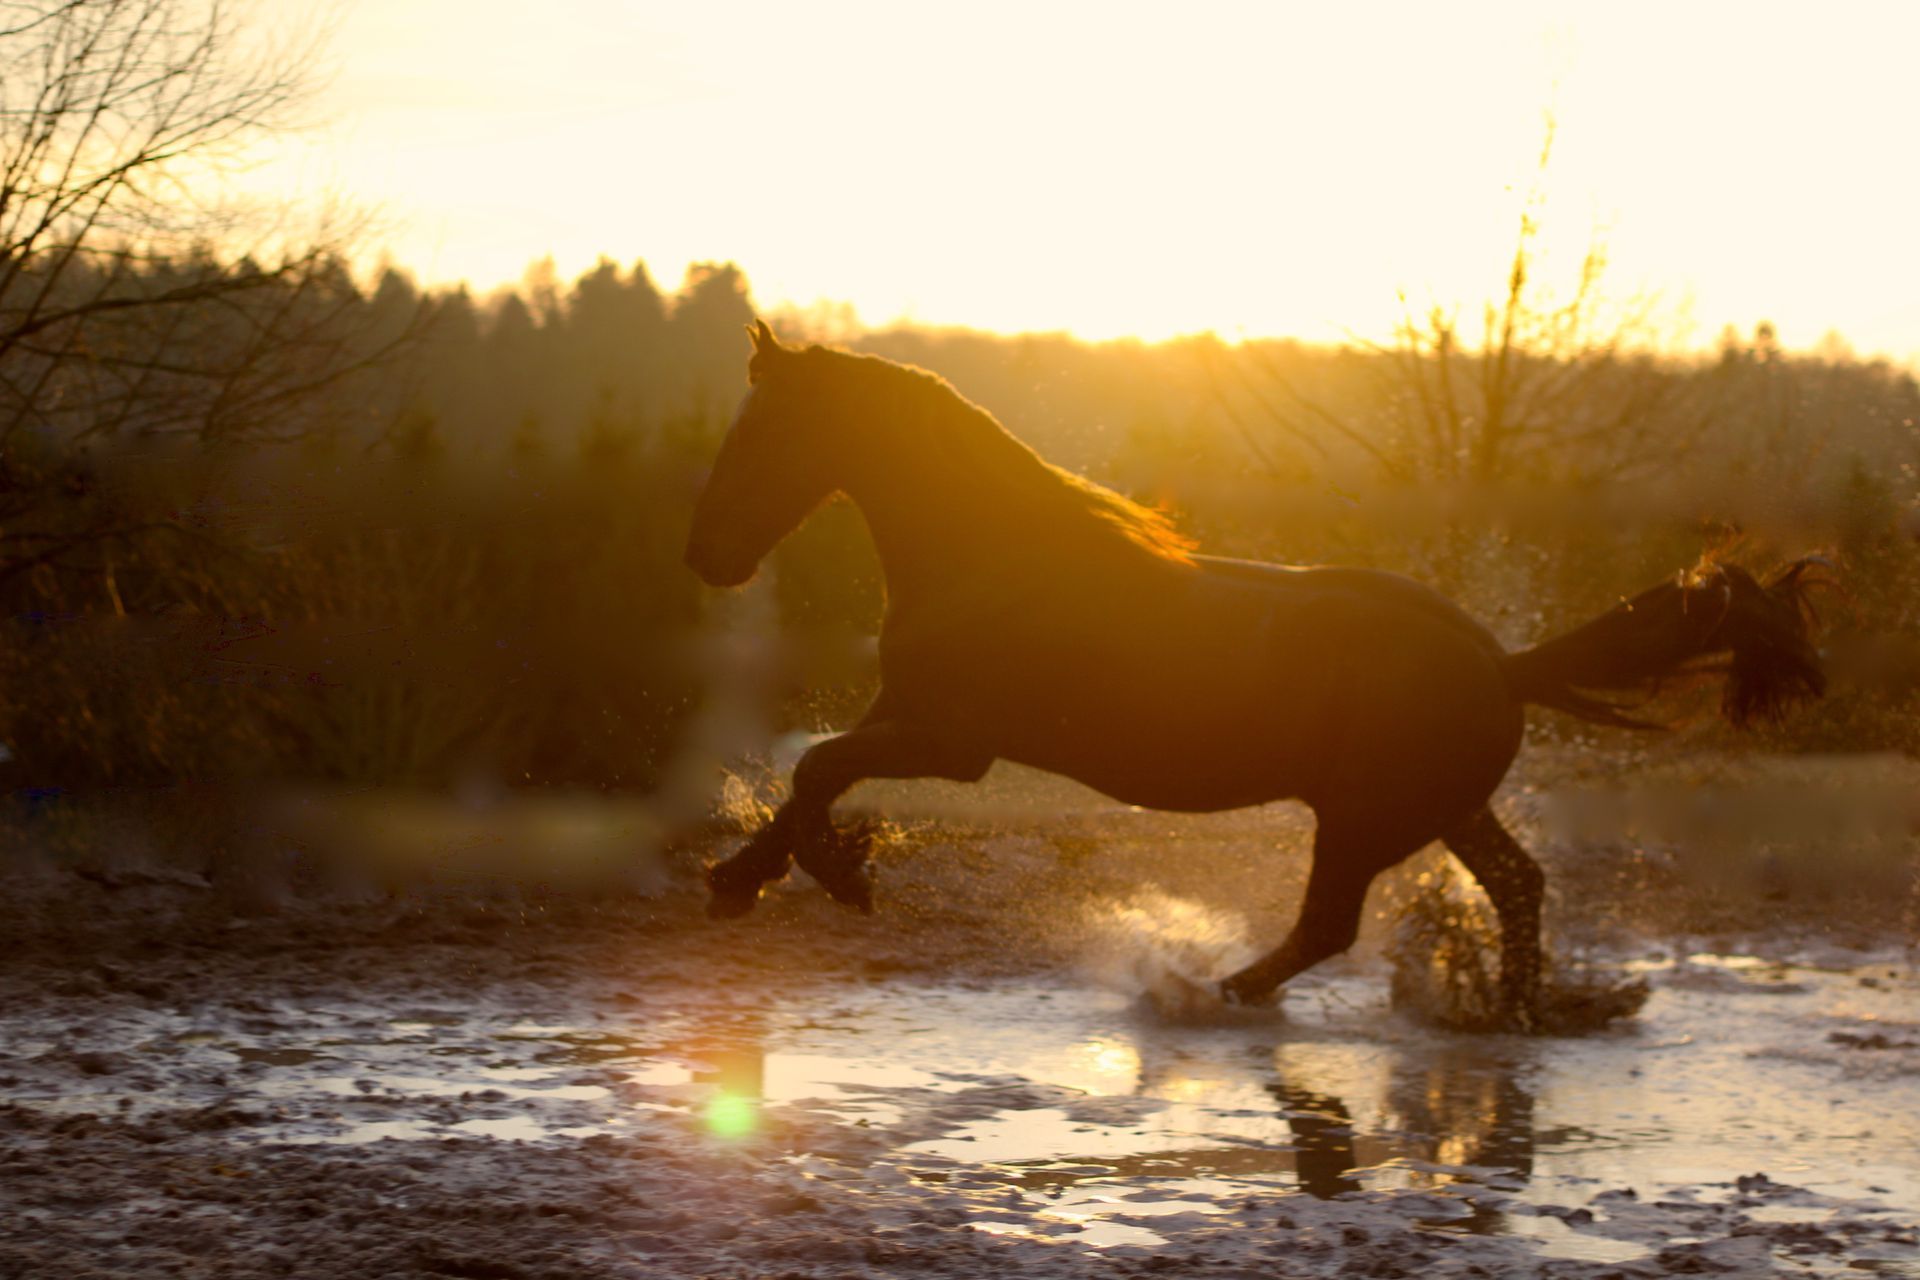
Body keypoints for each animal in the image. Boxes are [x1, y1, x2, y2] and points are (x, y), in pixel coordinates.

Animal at [684, 321, 1825, 1029]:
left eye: (767, 428)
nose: (706, 556)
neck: (993, 555)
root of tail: (1503, 663)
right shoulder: (904, 712)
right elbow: (807, 781)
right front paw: (748, 878)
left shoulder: (954, 741)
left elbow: (818, 772)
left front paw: (831, 876)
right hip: (1442, 809)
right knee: (1516, 885)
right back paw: (1511, 1013)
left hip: (1365, 819)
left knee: (1333, 925)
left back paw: (1204, 992)